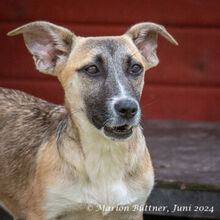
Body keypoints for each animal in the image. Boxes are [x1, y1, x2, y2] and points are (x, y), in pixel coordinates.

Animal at [0, 21, 177, 220]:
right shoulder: (41, 213)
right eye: (92, 69)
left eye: (136, 68)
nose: (128, 108)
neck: (106, 153)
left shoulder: (132, 211)